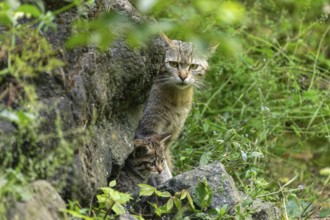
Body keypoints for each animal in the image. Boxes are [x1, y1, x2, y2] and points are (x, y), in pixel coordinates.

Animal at [135, 34, 210, 186]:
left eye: (194, 66)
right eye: (173, 64)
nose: (183, 76)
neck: (177, 100)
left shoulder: (170, 136)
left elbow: (163, 161)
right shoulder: (147, 131)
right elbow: (158, 164)